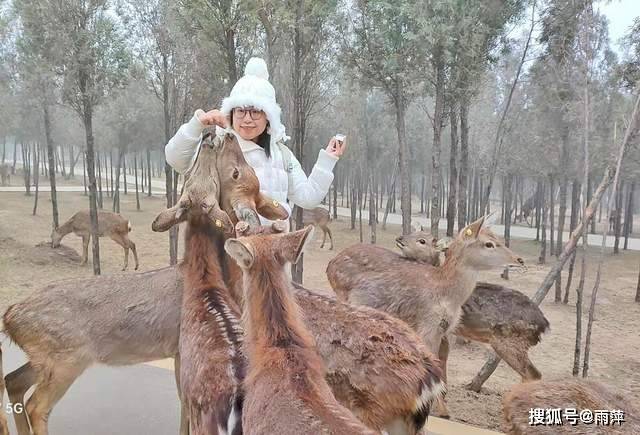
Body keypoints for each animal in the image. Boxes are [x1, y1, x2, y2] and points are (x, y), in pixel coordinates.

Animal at [328, 218, 528, 418]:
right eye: (489, 243)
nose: (519, 260)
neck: (448, 294)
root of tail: (330, 265)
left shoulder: (444, 331)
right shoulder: (428, 325)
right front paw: (438, 410)